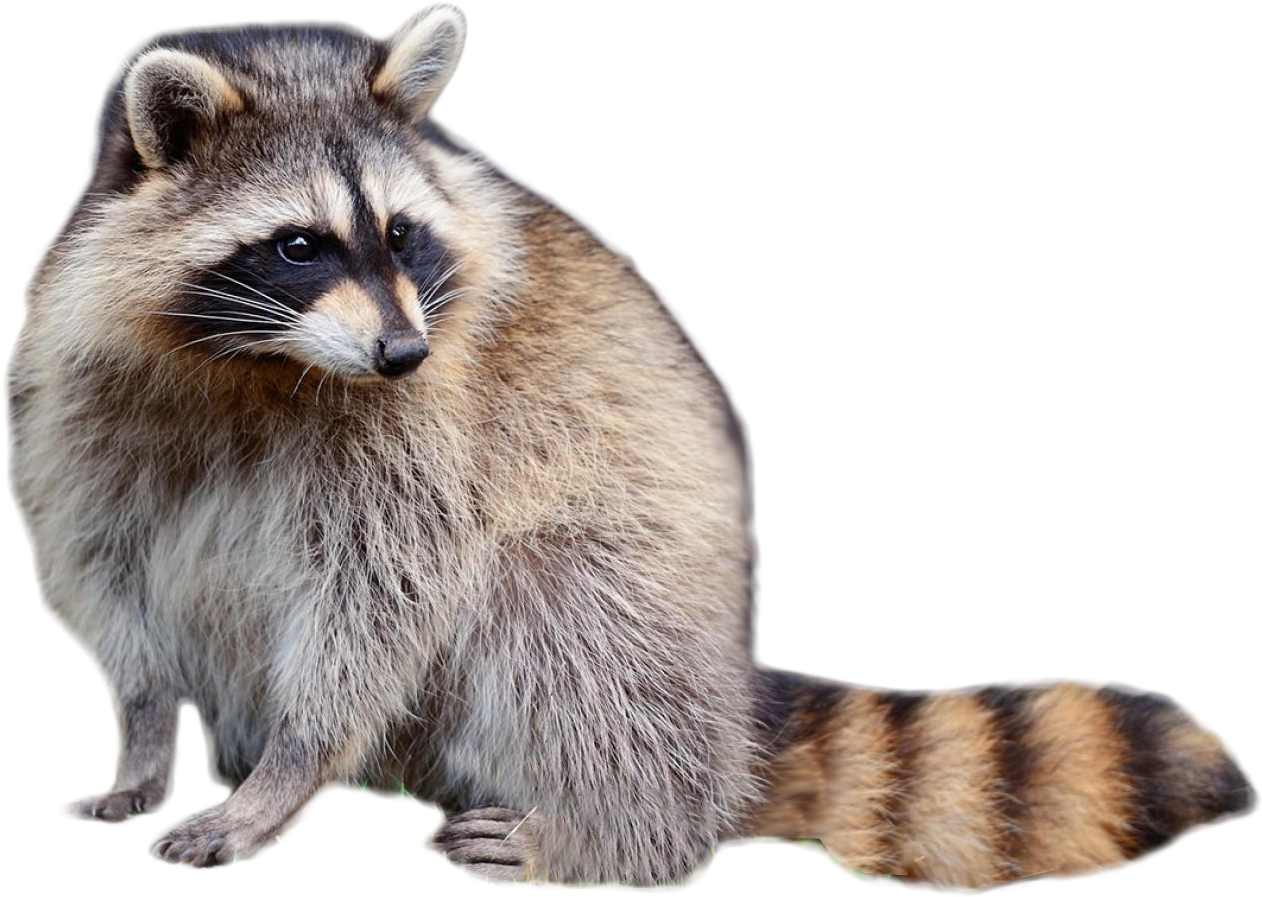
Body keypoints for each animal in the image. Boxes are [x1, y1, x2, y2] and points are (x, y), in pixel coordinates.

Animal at [6, 5, 1256, 891]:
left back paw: (610, 840)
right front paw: (142, 745)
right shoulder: (77, 391)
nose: (404, 350)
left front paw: (281, 776)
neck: (263, 362)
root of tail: (736, 708)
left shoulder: (425, 433)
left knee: (559, 613)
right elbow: (104, 575)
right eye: (298, 245)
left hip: (647, 624)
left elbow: (377, 601)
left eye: (403, 234)